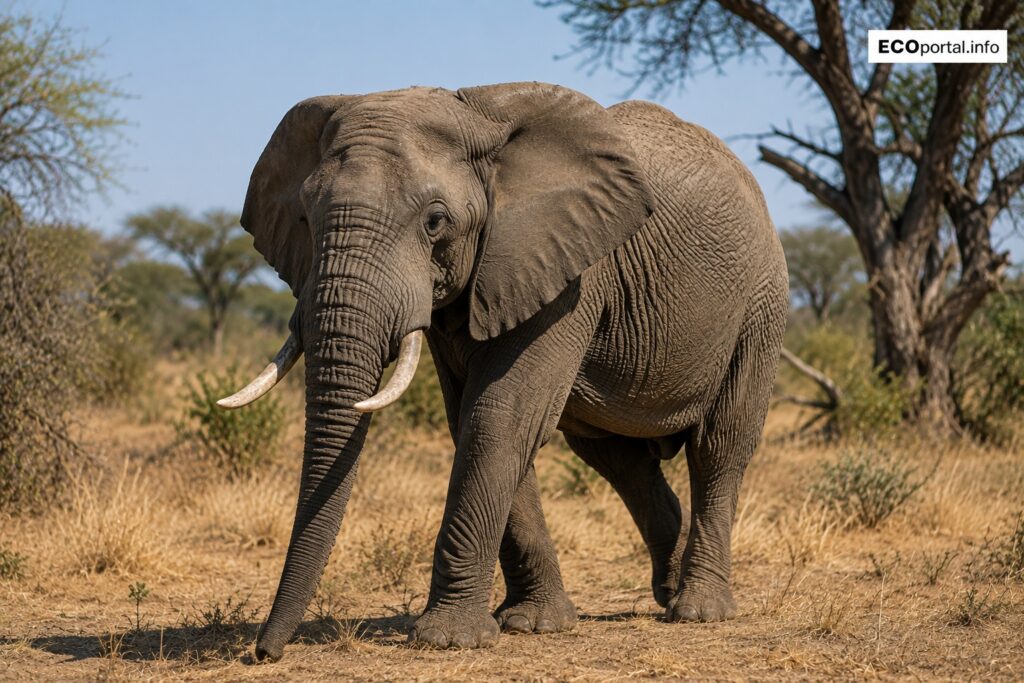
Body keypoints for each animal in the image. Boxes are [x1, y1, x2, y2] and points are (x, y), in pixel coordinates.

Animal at [218, 82, 788, 661]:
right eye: (306, 219)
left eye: (435, 221)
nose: (263, 652)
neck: (478, 122)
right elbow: (475, 422)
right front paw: (533, 624)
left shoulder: (567, 273)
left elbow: (499, 417)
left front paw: (447, 639)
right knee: (618, 458)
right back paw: (668, 588)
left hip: (761, 303)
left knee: (720, 445)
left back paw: (698, 610)